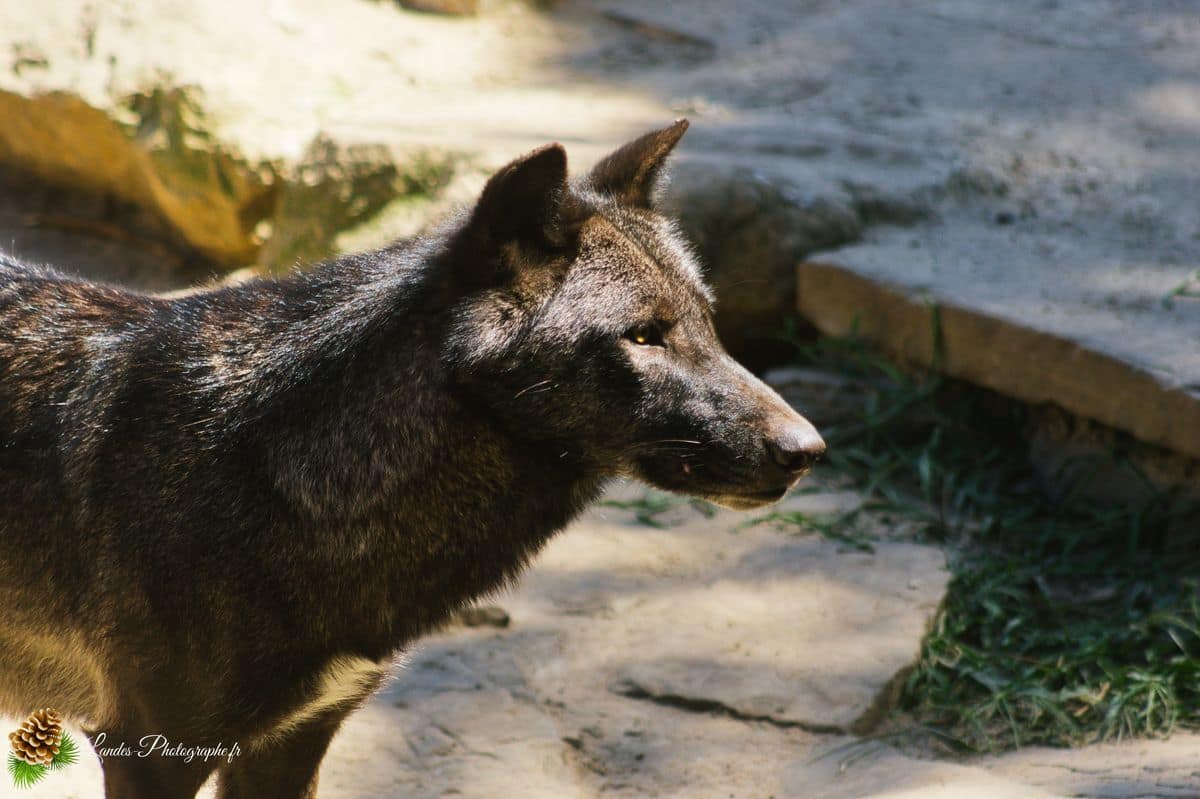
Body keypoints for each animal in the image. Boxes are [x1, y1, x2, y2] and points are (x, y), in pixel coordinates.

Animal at [0, 120, 824, 798]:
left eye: (709, 325)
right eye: (643, 336)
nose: (806, 450)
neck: (269, 467)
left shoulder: (291, 742)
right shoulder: (148, 751)